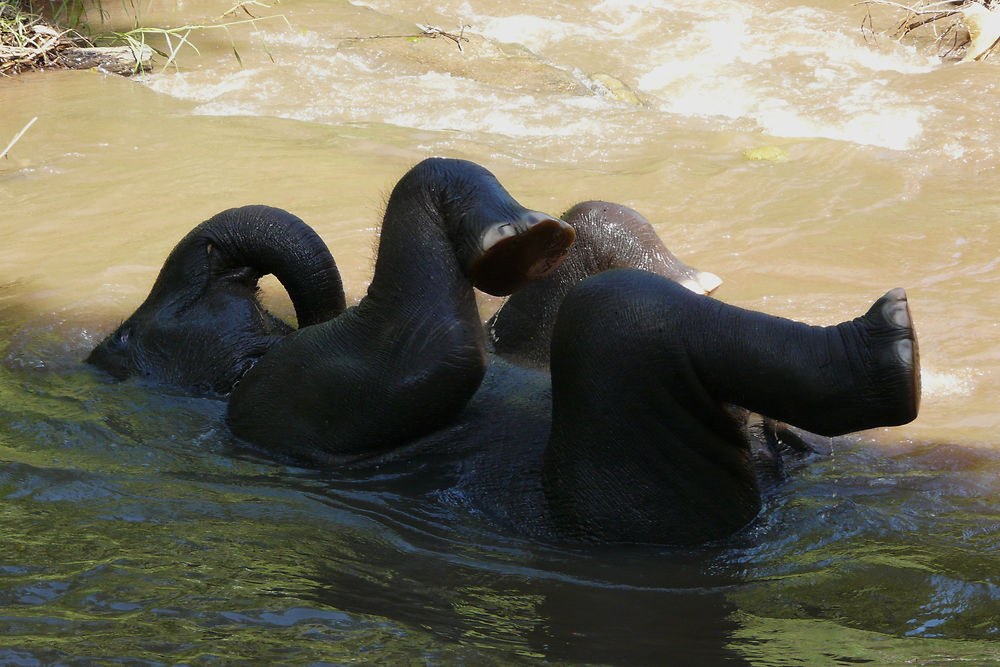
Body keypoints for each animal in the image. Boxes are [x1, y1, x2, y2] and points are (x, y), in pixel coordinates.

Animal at [88, 158, 920, 548]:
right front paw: (518, 239)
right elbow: (438, 351)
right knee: (619, 315)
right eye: (121, 342)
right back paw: (890, 344)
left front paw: (537, 239)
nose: (223, 256)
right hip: (638, 486)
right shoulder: (276, 402)